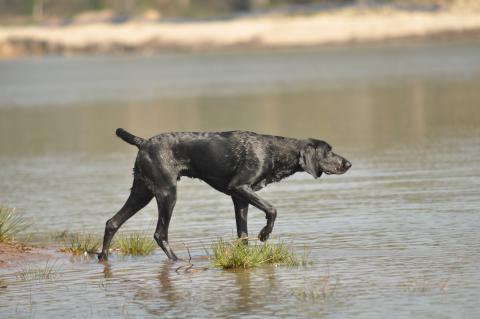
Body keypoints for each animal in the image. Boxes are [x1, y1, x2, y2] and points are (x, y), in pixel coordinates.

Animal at [98, 129, 352, 262]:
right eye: (328, 151)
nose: (348, 163)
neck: (272, 152)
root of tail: (143, 142)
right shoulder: (239, 187)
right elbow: (272, 209)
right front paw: (264, 234)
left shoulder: (240, 199)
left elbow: (243, 234)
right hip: (167, 193)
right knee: (160, 233)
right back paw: (177, 261)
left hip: (142, 192)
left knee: (112, 222)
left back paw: (103, 258)